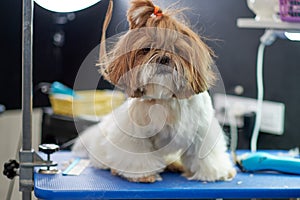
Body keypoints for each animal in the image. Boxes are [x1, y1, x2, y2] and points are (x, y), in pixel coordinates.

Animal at [71, 0, 236, 183]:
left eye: (176, 49)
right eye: (146, 49)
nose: (163, 58)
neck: (166, 99)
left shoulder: (202, 129)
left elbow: (206, 153)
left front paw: (213, 173)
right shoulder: (134, 134)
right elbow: (138, 155)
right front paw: (143, 174)